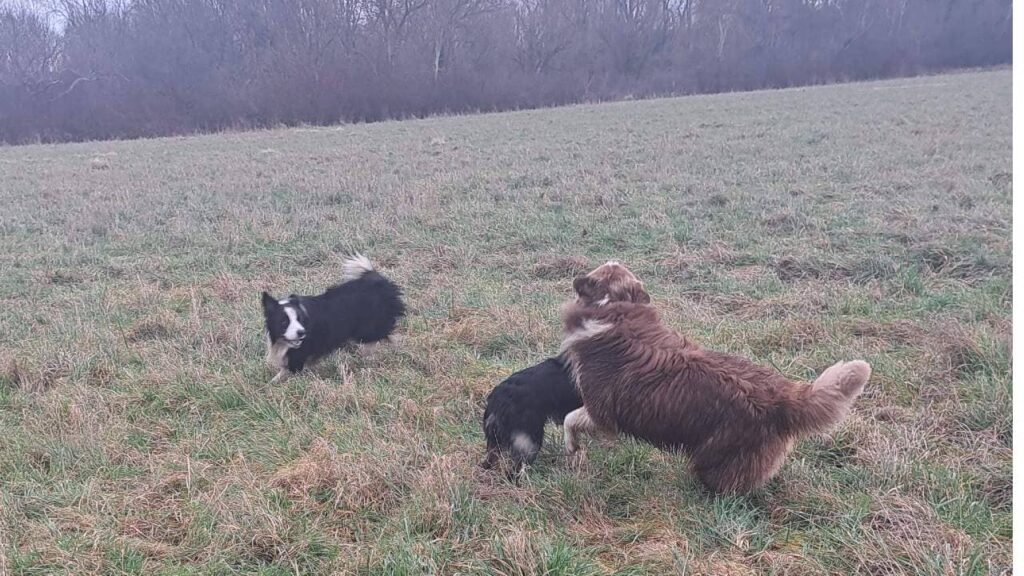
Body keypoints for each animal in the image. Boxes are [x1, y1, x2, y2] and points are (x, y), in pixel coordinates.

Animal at [262, 254, 405, 381]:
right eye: (284, 322)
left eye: (299, 320)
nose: (301, 332)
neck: (281, 341)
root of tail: (380, 283)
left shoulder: (298, 358)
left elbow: (284, 373)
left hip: (369, 330)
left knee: (389, 336)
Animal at [561, 260, 872, 487]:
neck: (616, 308)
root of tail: (782, 395)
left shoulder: (601, 413)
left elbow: (569, 419)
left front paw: (572, 448)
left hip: (715, 455)